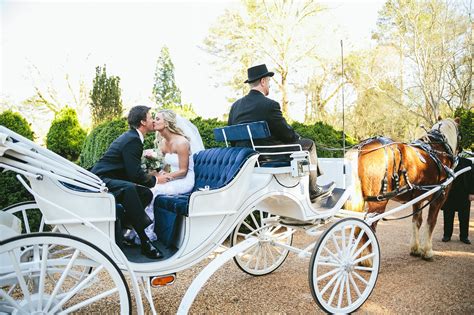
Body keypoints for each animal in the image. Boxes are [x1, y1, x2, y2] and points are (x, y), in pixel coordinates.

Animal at [346, 118, 462, 262]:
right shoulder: (439, 197)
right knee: (367, 228)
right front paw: (427, 251)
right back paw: (368, 260)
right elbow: (431, 222)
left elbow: (417, 221)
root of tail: (361, 148)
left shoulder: (417, 199)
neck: (438, 150)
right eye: (460, 135)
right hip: (377, 203)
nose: (460, 151)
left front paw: (415, 249)